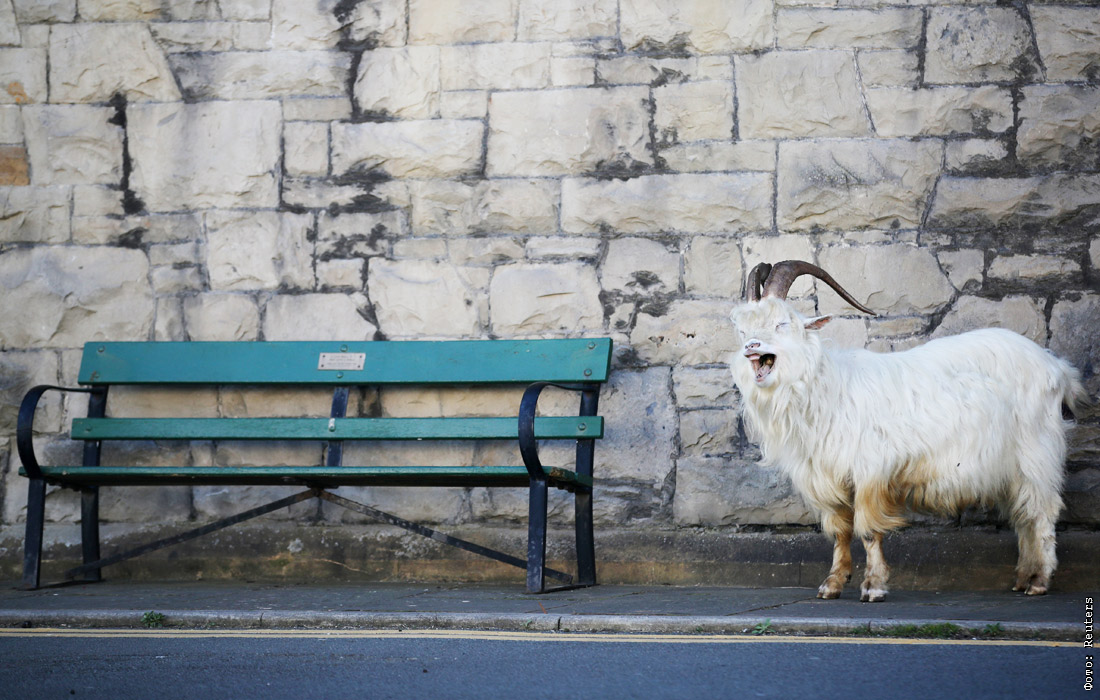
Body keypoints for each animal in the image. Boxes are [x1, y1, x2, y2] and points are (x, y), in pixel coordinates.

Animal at [728, 260, 1085, 601]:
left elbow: (868, 531)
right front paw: (831, 585)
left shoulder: (870, 470)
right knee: (1024, 516)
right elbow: (841, 532)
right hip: (1012, 466)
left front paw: (873, 587)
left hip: (1037, 451)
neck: (825, 388)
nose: (750, 346)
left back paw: (1038, 582)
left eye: (782, 323)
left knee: (1042, 512)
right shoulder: (828, 479)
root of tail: (1057, 368)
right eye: (742, 328)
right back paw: (1023, 578)